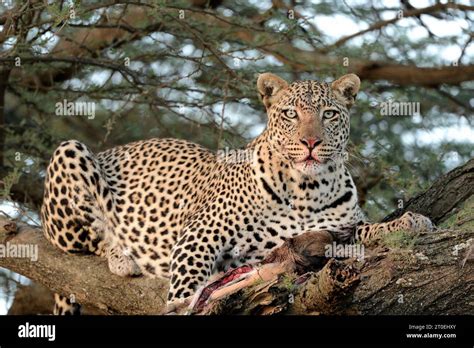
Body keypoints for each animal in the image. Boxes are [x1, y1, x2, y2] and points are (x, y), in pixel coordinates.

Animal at [40, 72, 434, 312]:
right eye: (290, 114)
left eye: (329, 114)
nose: (310, 142)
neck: (308, 189)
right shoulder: (199, 235)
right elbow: (186, 287)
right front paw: (183, 304)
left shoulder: (328, 233)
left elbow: (367, 229)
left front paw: (410, 221)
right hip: (70, 153)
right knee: (83, 240)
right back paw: (120, 255)